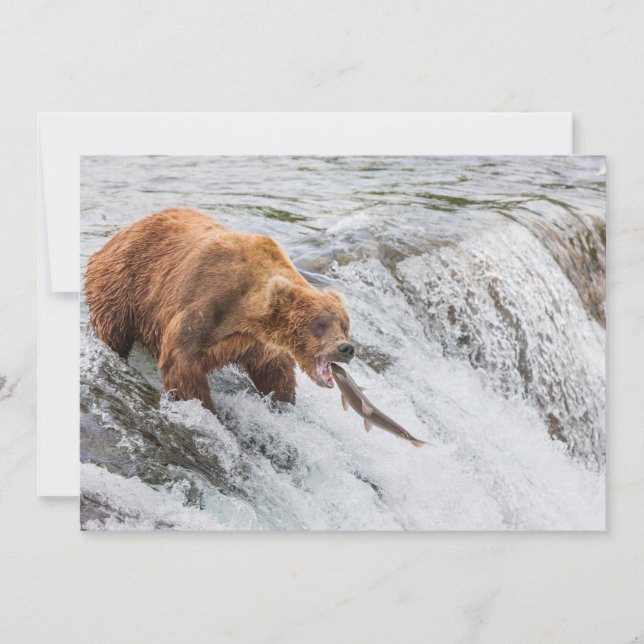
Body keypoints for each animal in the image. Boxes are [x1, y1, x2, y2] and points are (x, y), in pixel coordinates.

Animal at [84, 208, 355, 413]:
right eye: (320, 324)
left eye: (344, 325)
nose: (346, 348)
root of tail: (118, 235)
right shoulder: (207, 304)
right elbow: (181, 361)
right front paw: (205, 408)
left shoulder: (256, 342)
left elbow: (275, 371)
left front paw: (283, 401)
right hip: (124, 286)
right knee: (114, 331)